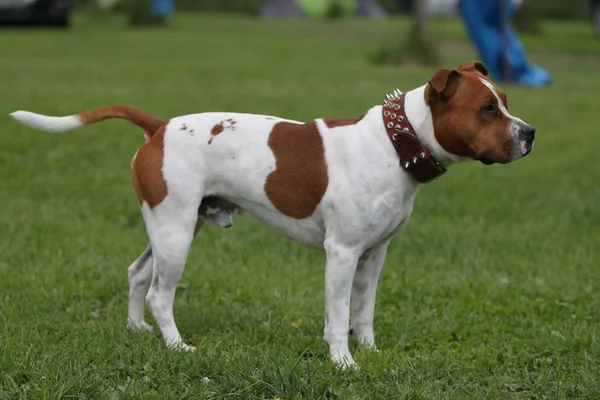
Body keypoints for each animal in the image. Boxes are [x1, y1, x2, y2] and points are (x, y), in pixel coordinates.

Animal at [9, 61, 536, 368]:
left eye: (506, 102)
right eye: (487, 109)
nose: (530, 133)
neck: (394, 143)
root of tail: (158, 127)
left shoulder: (374, 255)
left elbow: (363, 312)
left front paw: (369, 352)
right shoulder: (342, 254)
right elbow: (337, 315)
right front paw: (344, 363)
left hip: (174, 226)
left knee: (138, 273)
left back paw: (139, 331)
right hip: (176, 233)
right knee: (161, 293)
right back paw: (176, 346)